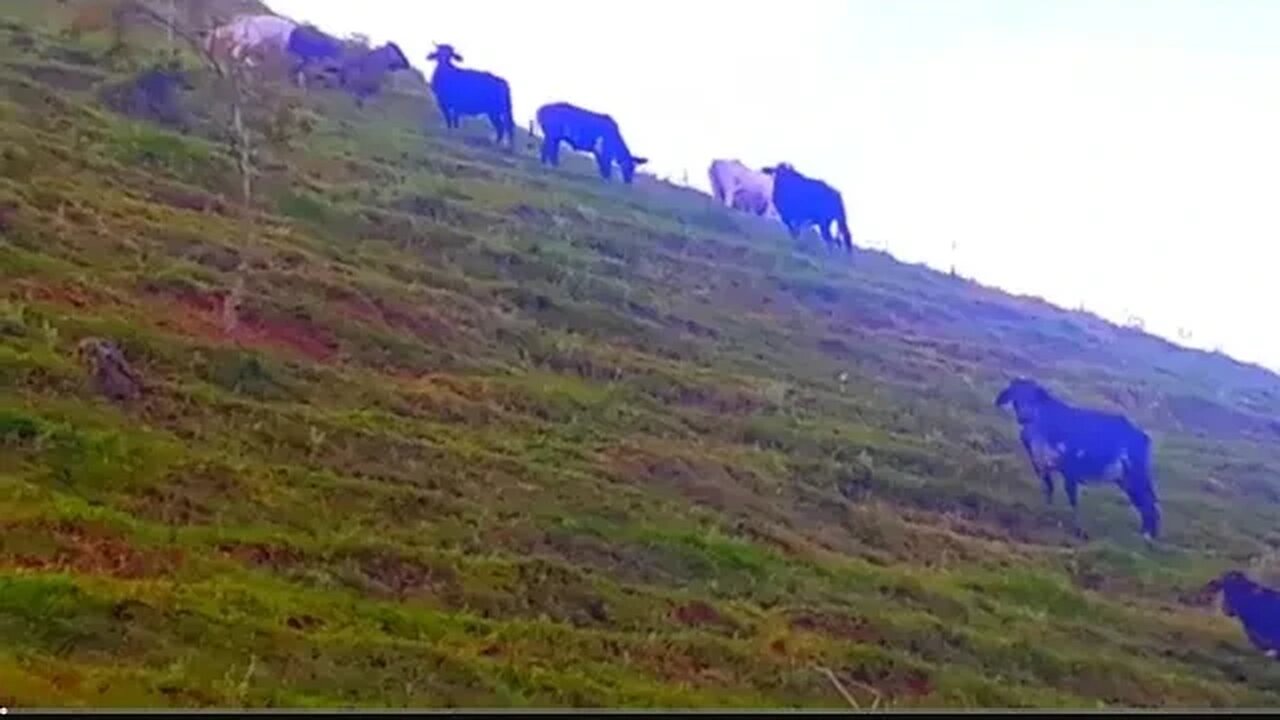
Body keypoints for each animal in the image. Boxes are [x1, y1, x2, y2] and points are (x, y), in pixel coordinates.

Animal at [993, 376, 1167, 538]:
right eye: (1015, 394)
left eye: (1033, 396)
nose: (1024, 415)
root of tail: (1142, 436)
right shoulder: (1041, 465)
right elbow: (1049, 489)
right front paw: (1046, 511)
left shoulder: (1070, 468)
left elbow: (1072, 499)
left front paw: (1077, 528)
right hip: (1125, 479)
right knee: (1144, 502)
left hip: (1136, 474)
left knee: (1149, 502)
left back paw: (1147, 535)